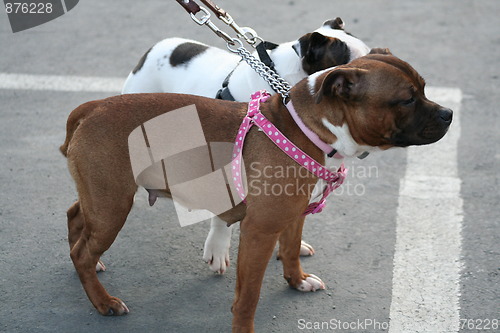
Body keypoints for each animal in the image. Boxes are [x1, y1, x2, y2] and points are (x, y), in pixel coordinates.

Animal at [59, 53, 454, 330]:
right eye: (406, 100)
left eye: (424, 88)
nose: (449, 113)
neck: (308, 128)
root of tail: (93, 108)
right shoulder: (259, 232)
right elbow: (248, 295)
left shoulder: (292, 216)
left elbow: (291, 249)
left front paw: (298, 281)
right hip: (112, 206)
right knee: (82, 250)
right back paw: (103, 301)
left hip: (100, 198)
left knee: (76, 217)